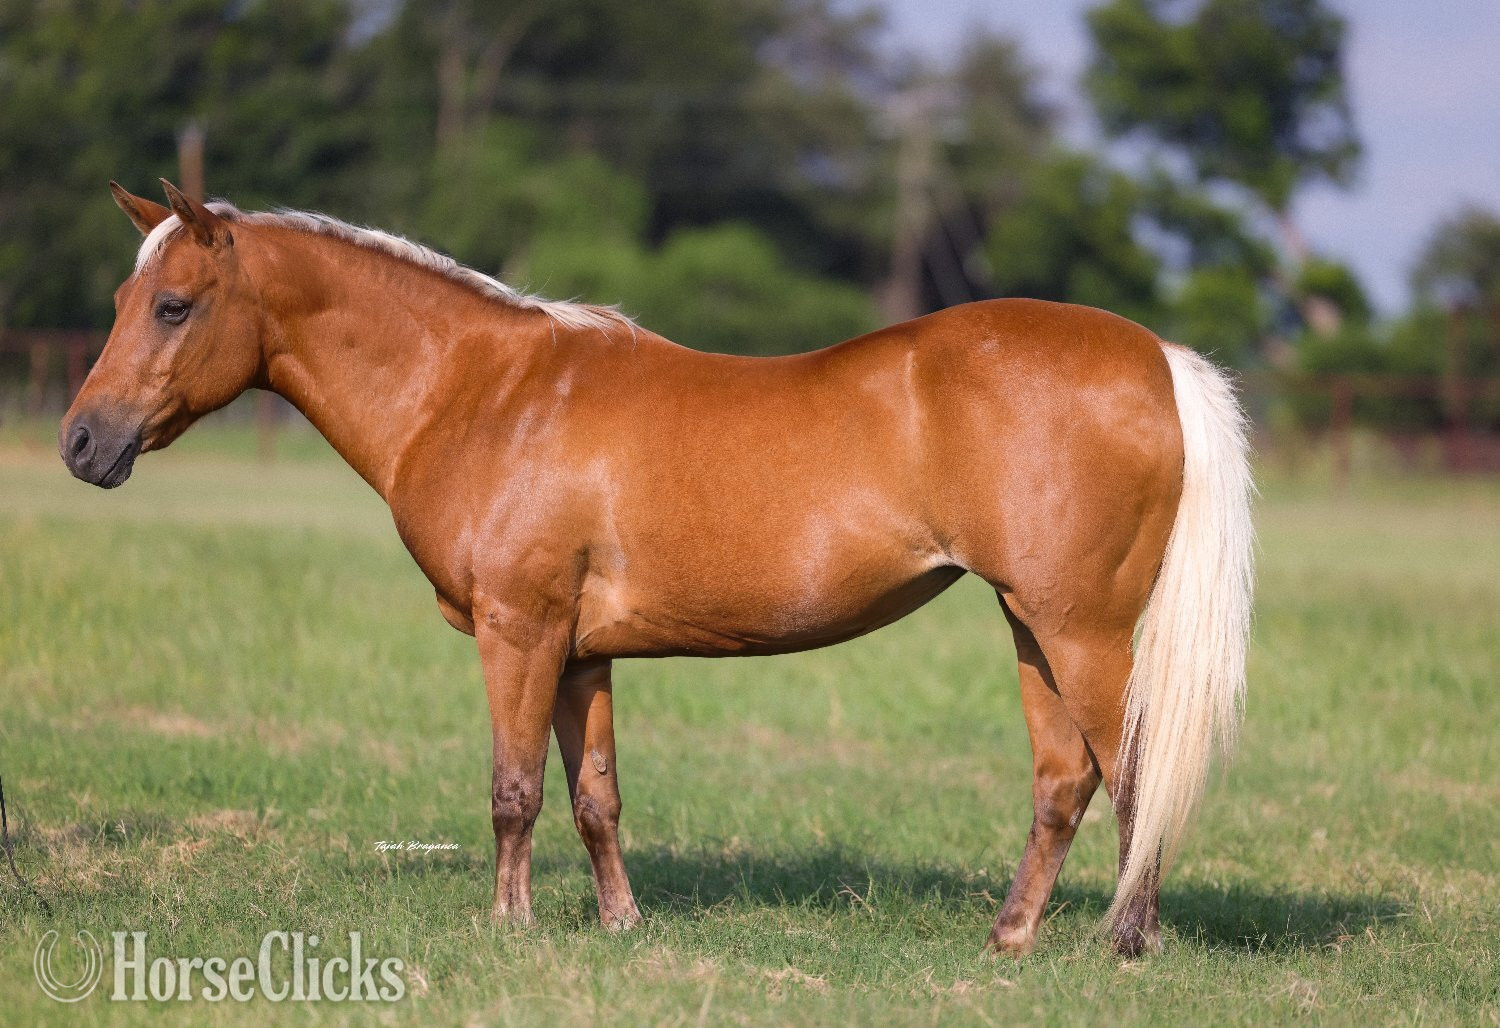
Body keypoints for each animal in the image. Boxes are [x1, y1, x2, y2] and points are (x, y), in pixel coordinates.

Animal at [62, 180, 1253, 957]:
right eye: (119, 302)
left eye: (173, 304)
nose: (81, 443)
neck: (488, 392)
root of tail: (1156, 356)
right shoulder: (580, 650)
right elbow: (595, 796)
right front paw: (619, 923)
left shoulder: (520, 629)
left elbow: (513, 789)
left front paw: (510, 929)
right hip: (1029, 624)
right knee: (1066, 779)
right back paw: (1009, 939)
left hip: (1079, 627)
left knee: (1134, 769)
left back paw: (1126, 942)